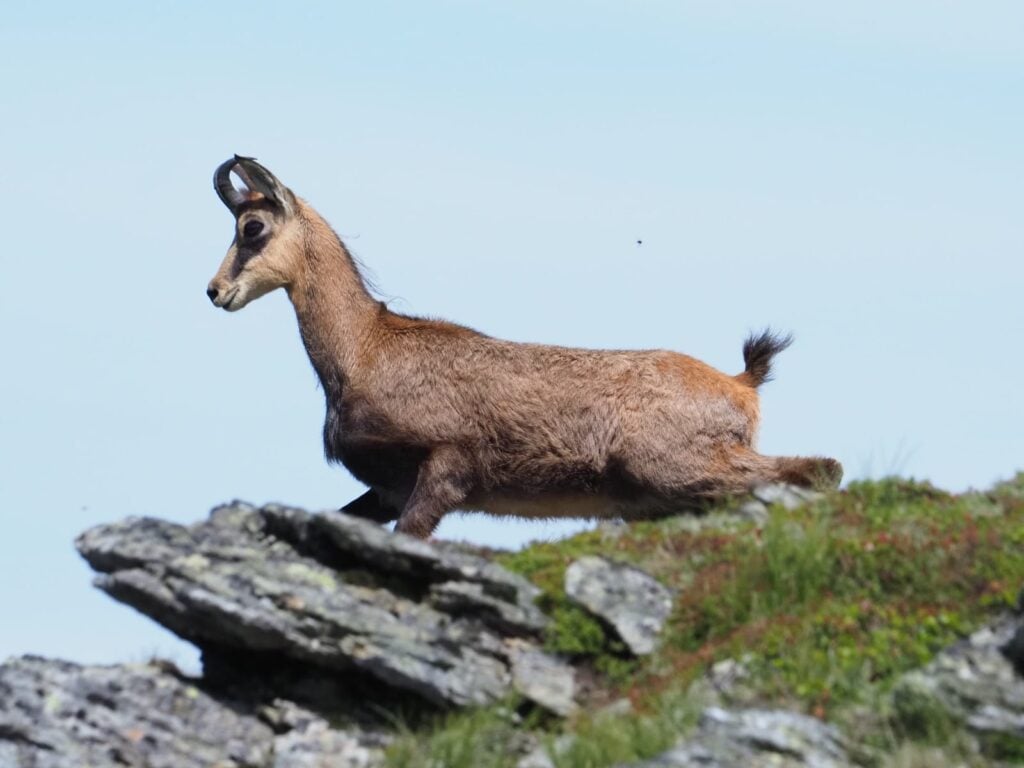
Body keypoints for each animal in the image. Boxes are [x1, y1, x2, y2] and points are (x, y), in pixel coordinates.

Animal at [207, 156, 842, 538]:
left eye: (252, 228)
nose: (215, 291)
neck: (364, 349)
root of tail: (741, 384)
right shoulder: (386, 491)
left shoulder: (446, 466)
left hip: (674, 464)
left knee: (819, 468)